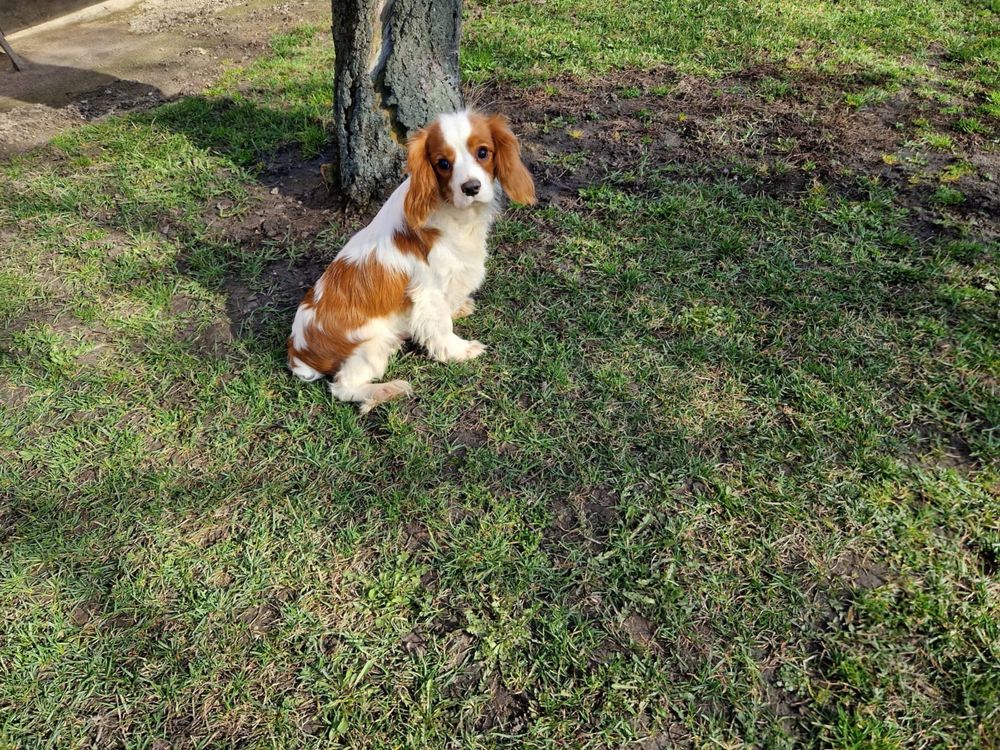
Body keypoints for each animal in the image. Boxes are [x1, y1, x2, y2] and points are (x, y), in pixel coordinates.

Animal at [286, 111, 536, 414]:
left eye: (483, 152)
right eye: (443, 163)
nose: (471, 187)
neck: (454, 212)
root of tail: (298, 350)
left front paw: (458, 308)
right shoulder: (427, 291)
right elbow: (441, 327)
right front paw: (460, 350)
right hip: (371, 345)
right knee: (343, 388)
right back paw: (386, 390)